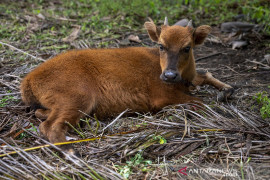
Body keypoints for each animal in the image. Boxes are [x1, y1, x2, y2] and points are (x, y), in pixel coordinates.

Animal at [20, 17, 233, 153]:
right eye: (161, 45)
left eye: (187, 47)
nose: (169, 75)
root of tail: (28, 80)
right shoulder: (161, 97)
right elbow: (200, 101)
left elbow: (204, 75)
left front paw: (227, 89)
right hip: (78, 98)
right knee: (50, 126)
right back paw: (73, 151)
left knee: (42, 114)